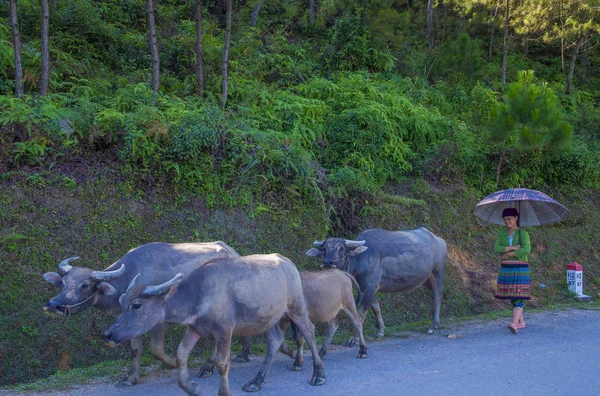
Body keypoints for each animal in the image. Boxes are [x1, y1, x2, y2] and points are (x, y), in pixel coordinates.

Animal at [42, 241, 244, 386]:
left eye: (84, 285)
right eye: (63, 282)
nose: (53, 305)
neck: (129, 275)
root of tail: (232, 252)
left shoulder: (157, 320)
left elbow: (156, 349)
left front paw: (173, 363)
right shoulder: (131, 322)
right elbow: (135, 348)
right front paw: (130, 378)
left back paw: (208, 366)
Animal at [104, 254, 328, 396]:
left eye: (137, 305)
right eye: (122, 302)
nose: (108, 334)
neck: (199, 295)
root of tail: (287, 262)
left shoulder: (225, 331)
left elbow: (222, 364)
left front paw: (223, 392)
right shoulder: (195, 328)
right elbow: (181, 355)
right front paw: (190, 387)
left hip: (296, 307)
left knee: (309, 332)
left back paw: (318, 374)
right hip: (270, 316)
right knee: (274, 341)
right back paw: (256, 381)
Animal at [310, 227, 446, 336]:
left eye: (341, 248)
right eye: (325, 248)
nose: (327, 262)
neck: (360, 258)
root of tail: (440, 240)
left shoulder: (370, 287)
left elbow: (361, 313)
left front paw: (354, 339)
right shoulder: (367, 288)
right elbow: (376, 307)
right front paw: (380, 331)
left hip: (437, 272)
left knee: (438, 296)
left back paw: (434, 326)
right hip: (426, 280)